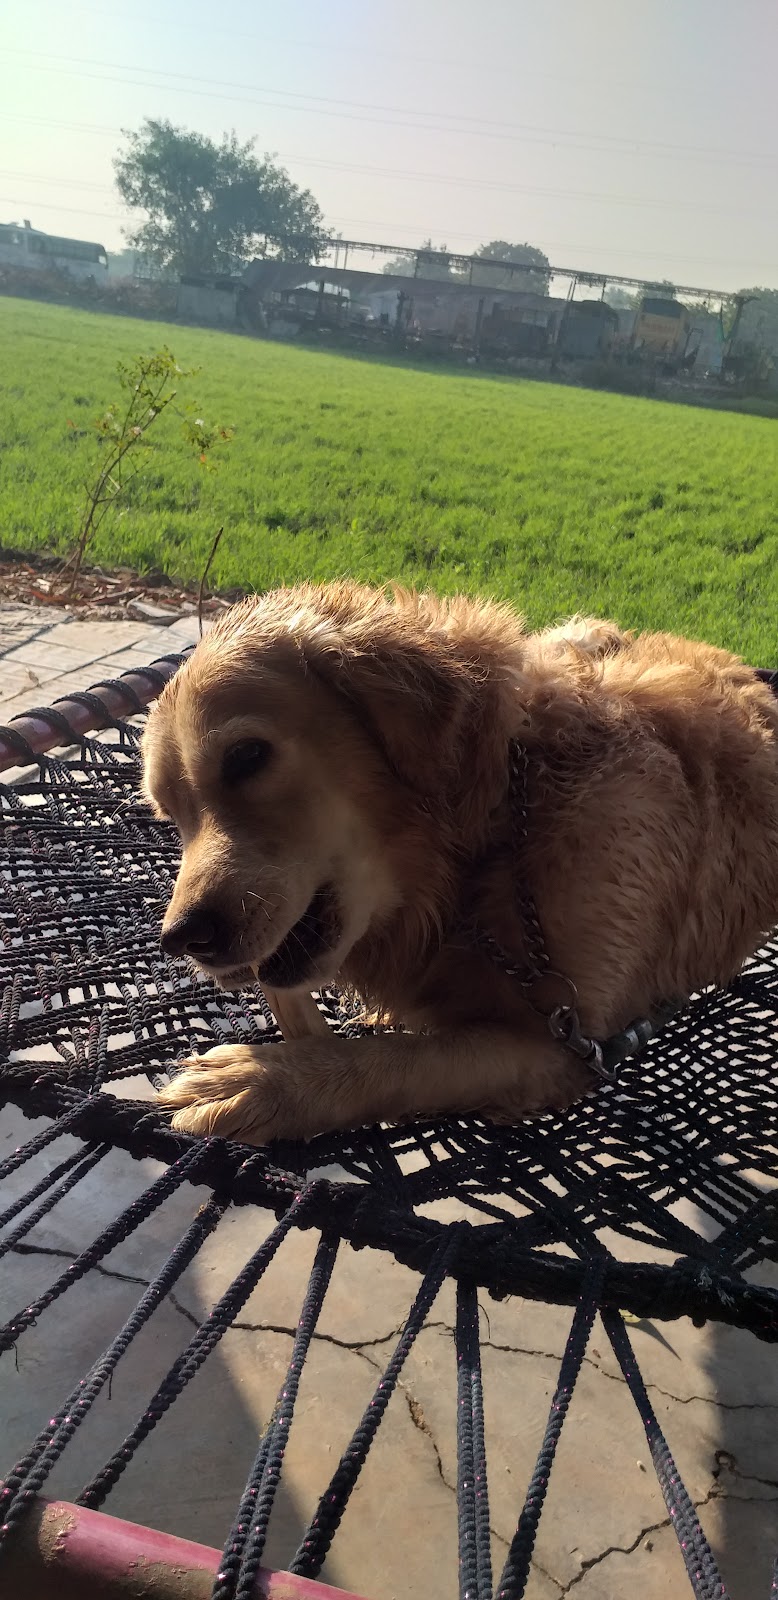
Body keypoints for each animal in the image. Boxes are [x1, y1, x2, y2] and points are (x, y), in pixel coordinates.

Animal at [141, 581, 778, 1145]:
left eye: (247, 755)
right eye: (168, 813)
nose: (182, 938)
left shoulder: (566, 1044)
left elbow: (403, 1058)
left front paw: (270, 1079)